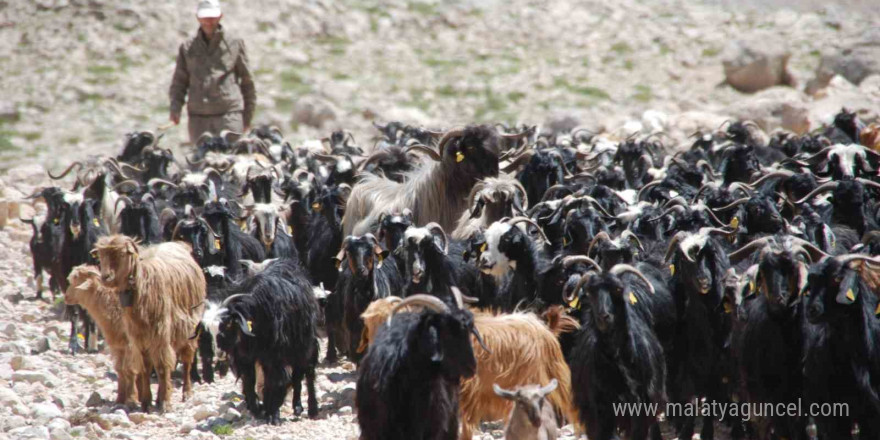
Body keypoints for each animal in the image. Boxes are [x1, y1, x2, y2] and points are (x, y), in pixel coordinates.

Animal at [63, 264, 138, 406]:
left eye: (77, 282)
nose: (66, 297)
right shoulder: (118, 344)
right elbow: (120, 369)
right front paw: (120, 399)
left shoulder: (131, 345)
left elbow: (130, 369)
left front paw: (132, 399)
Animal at [93, 235, 206, 410]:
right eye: (100, 255)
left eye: (121, 254)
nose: (105, 278)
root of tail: (180, 245)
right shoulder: (139, 338)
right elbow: (146, 368)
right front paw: (147, 402)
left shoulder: (160, 334)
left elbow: (162, 367)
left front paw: (165, 403)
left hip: (189, 327)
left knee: (186, 360)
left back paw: (186, 392)